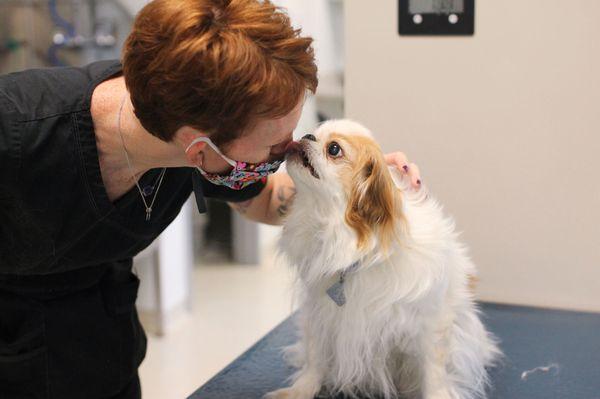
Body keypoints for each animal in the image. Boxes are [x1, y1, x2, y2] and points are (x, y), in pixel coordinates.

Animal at [268, 120, 502, 399]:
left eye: (334, 149)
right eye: (315, 131)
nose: (306, 135)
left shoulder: (430, 325)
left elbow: (433, 372)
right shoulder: (321, 314)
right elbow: (315, 358)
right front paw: (300, 390)